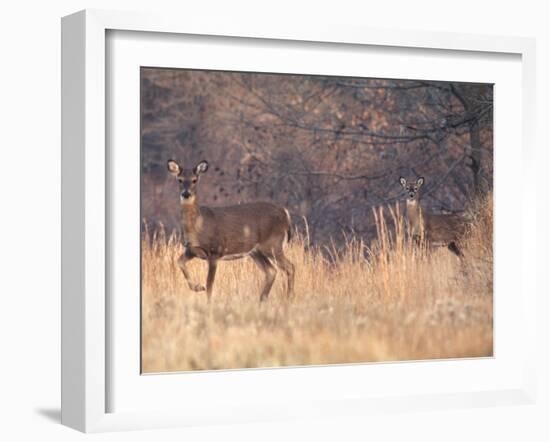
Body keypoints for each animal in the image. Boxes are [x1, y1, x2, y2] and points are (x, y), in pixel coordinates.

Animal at [168, 160, 298, 304]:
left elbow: (210, 284)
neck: (198, 226)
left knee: (290, 267)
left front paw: (208, 302)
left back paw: (289, 298)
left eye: (194, 180)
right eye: (179, 180)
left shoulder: (215, 250)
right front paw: (197, 287)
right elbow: (179, 262)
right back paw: (262, 300)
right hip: (256, 251)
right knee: (271, 271)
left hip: (273, 244)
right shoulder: (191, 250)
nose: (186, 193)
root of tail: (285, 213)